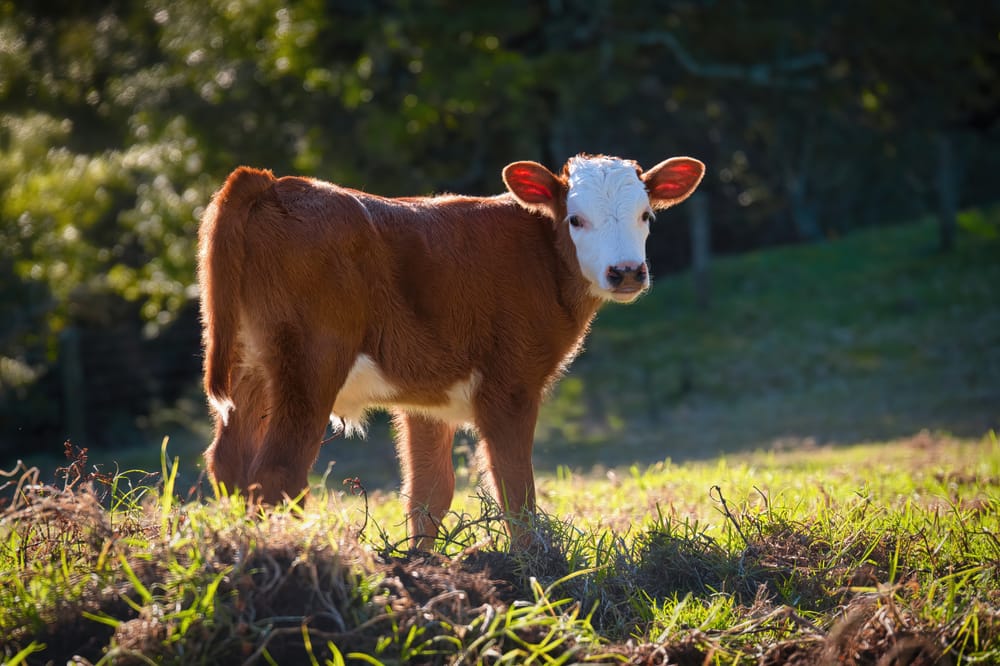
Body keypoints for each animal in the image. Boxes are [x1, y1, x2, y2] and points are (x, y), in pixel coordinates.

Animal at [198, 153, 705, 549]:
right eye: (576, 219)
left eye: (646, 215)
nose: (626, 271)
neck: (541, 256)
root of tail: (271, 182)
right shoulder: (510, 386)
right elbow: (516, 491)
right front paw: (535, 567)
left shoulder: (426, 396)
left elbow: (428, 494)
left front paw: (420, 564)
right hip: (309, 366)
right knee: (278, 473)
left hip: (249, 368)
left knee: (229, 464)